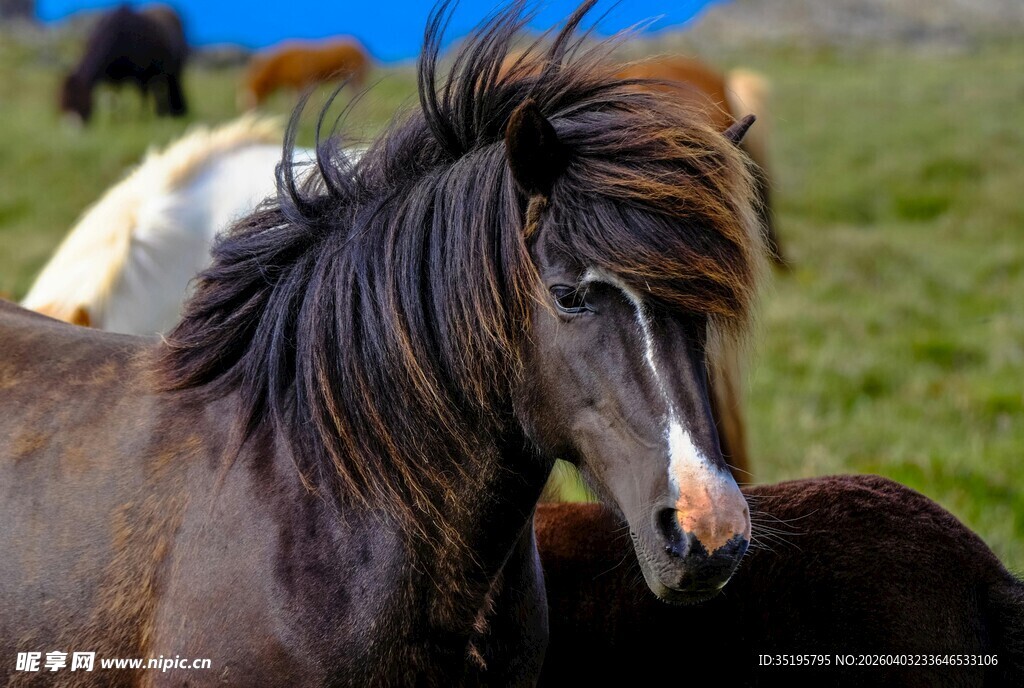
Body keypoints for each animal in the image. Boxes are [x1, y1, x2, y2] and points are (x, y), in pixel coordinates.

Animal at [59, 4, 189, 124]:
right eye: (64, 103)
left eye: (77, 100)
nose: (71, 127)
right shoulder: (113, 78)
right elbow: (114, 101)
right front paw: (115, 122)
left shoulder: (140, 75)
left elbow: (141, 97)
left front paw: (141, 119)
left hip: (173, 69)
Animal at [240, 37, 370, 110]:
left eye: (253, 97)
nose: (250, 112)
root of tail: (359, 47)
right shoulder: (293, 84)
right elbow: (291, 101)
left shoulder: (305, 82)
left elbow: (306, 100)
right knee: (353, 93)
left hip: (357, 76)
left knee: (361, 93)